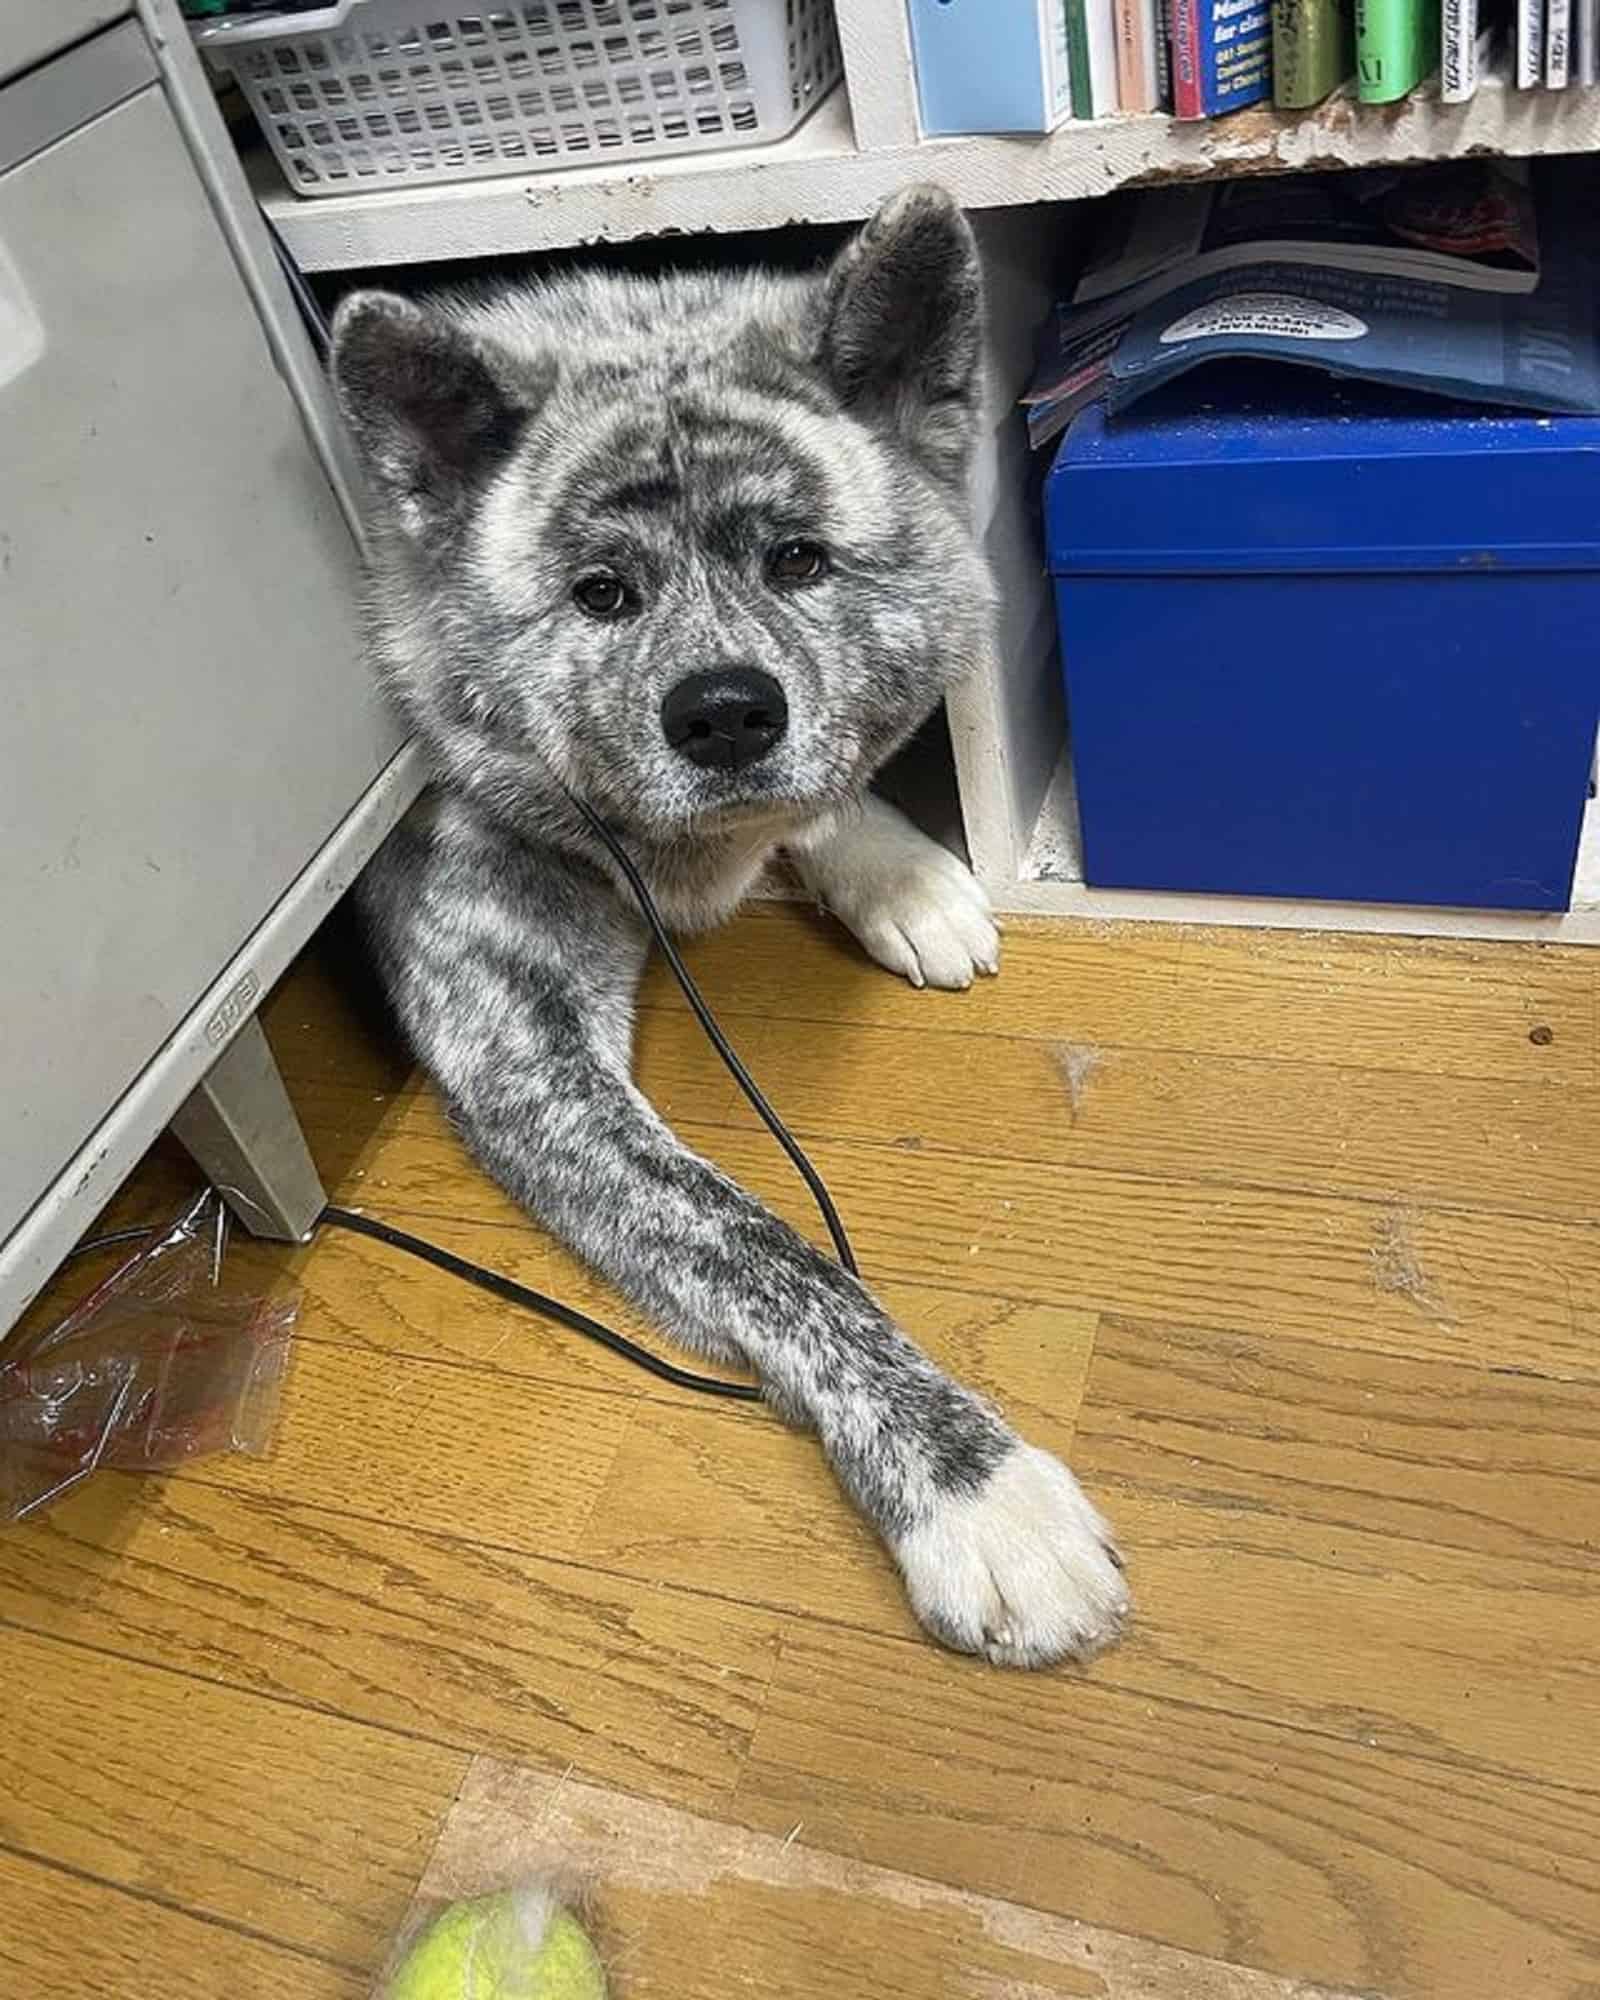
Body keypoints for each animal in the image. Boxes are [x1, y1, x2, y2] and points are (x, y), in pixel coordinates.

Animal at [328, 188, 1128, 1664]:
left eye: (798, 561)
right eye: (599, 592)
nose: (724, 713)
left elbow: (816, 801)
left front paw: (889, 864)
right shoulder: (533, 1068)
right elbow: (778, 1255)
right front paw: (973, 1489)